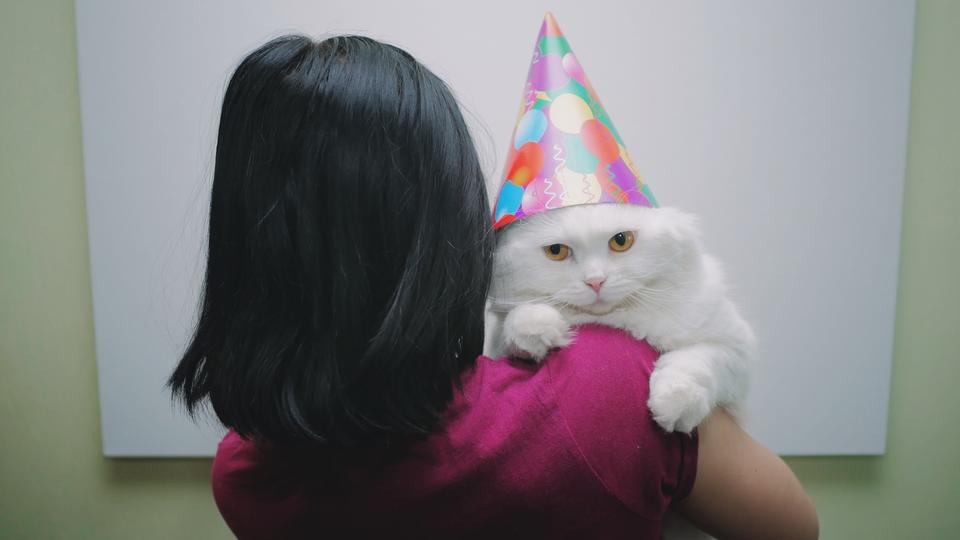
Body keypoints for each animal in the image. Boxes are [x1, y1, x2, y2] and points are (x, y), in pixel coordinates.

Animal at [488, 204, 756, 434]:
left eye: (620, 240)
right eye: (556, 251)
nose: (595, 281)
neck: (617, 318)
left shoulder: (734, 346)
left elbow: (694, 362)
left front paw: (675, 402)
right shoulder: (499, 340)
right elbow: (512, 325)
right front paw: (534, 326)